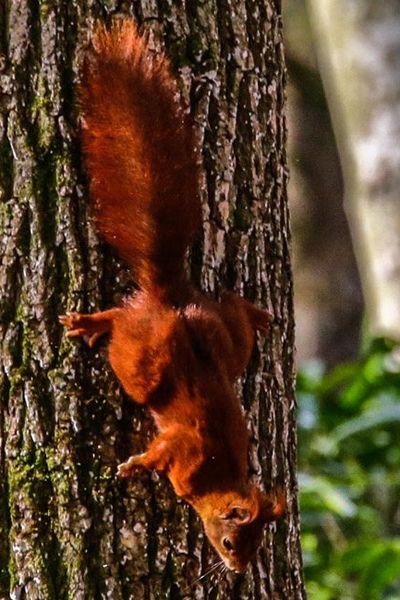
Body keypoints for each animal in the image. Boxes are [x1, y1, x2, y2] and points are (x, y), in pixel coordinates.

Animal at [60, 17, 284, 572]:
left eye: (256, 546)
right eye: (231, 542)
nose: (237, 571)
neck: (219, 479)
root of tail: (172, 300)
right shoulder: (183, 450)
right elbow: (160, 453)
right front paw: (135, 466)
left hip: (223, 337)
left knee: (228, 306)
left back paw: (254, 312)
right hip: (141, 359)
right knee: (123, 324)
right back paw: (93, 322)